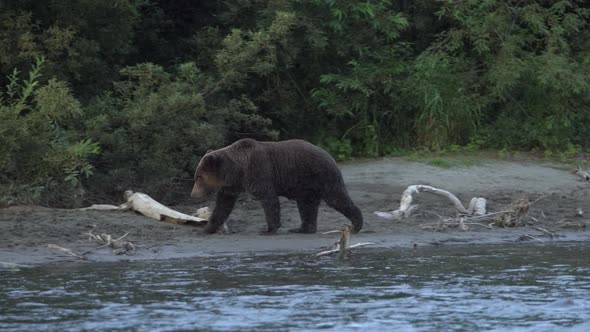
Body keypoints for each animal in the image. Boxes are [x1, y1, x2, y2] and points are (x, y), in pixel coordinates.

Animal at [192, 139, 364, 235]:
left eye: (199, 177)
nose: (193, 195)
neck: (237, 170)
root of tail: (329, 155)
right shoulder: (231, 186)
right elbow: (222, 206)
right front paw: (206, 229)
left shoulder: (259, 172)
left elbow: (269, 200)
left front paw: (268, 230)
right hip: (306, 185)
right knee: (307, 205)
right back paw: (302, 229)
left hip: (321, 175)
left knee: (336, 198)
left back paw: (356, 225)